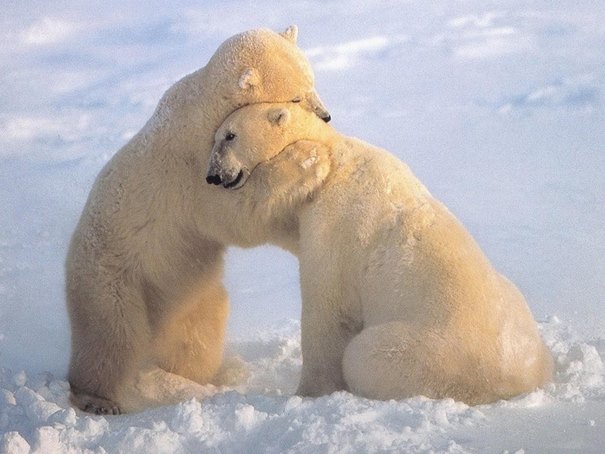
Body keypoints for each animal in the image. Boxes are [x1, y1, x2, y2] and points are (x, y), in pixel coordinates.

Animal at [66, 25, 330, 414]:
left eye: (312, 81)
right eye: (296, 96)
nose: (326, 116)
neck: (203, 110)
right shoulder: (192, 174)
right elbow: (237, 214)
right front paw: (308, 160)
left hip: (188, 292)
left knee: (198, 332)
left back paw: (209, 376)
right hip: (111, 279)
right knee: (113, 338)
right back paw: (98, 399)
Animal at [206, 103, 552, 404]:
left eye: (230, 135)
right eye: (219, 136)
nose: (212, 175)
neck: (339, 159)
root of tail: (516, 380)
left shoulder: (334, 226)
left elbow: (327, 310)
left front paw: (308, 392)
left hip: (428, 353)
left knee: (363, 355)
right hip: (511, 300)